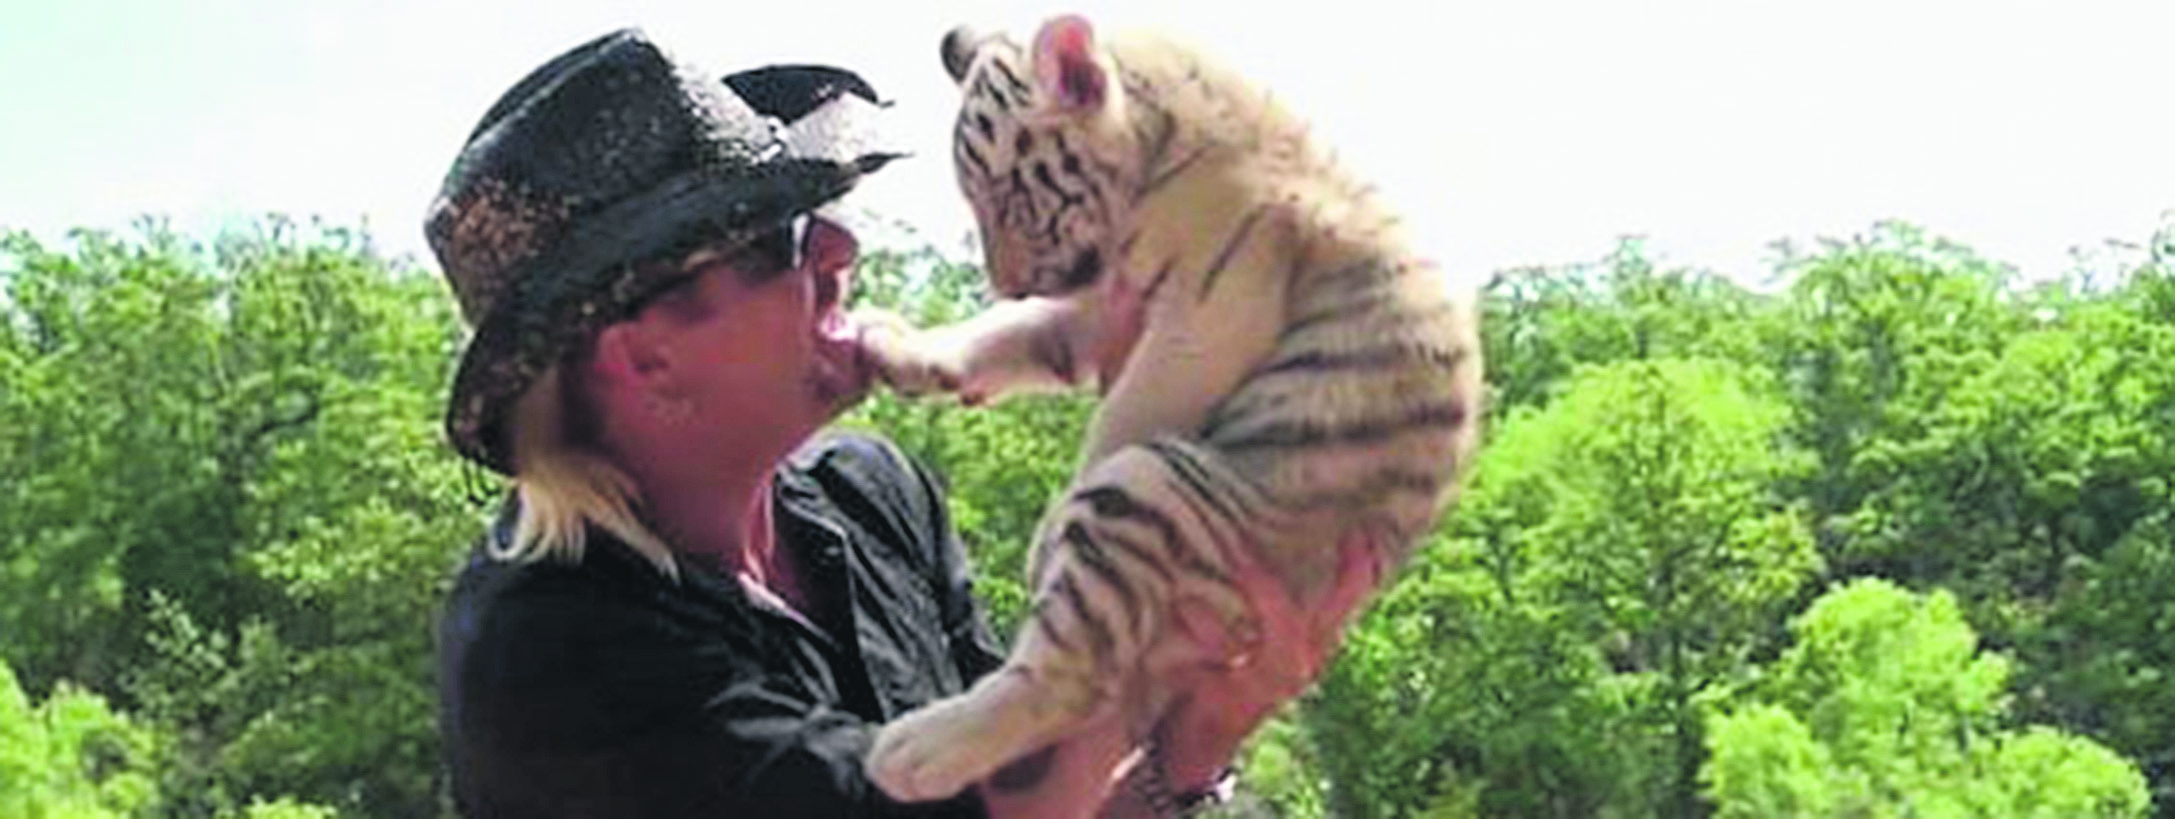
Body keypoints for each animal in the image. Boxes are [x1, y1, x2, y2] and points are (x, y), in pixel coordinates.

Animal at [852, 13, 1485, 803]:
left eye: (1013, 198)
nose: (1008, 282)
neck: (1153, 149)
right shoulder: (1106, 299)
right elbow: (1016, 334)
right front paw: (904, 346)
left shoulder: (1205, 319)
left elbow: (1121, 413)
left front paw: (1044, 537)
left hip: (1154, 492)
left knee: (1072, 677)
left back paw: (916, 750)